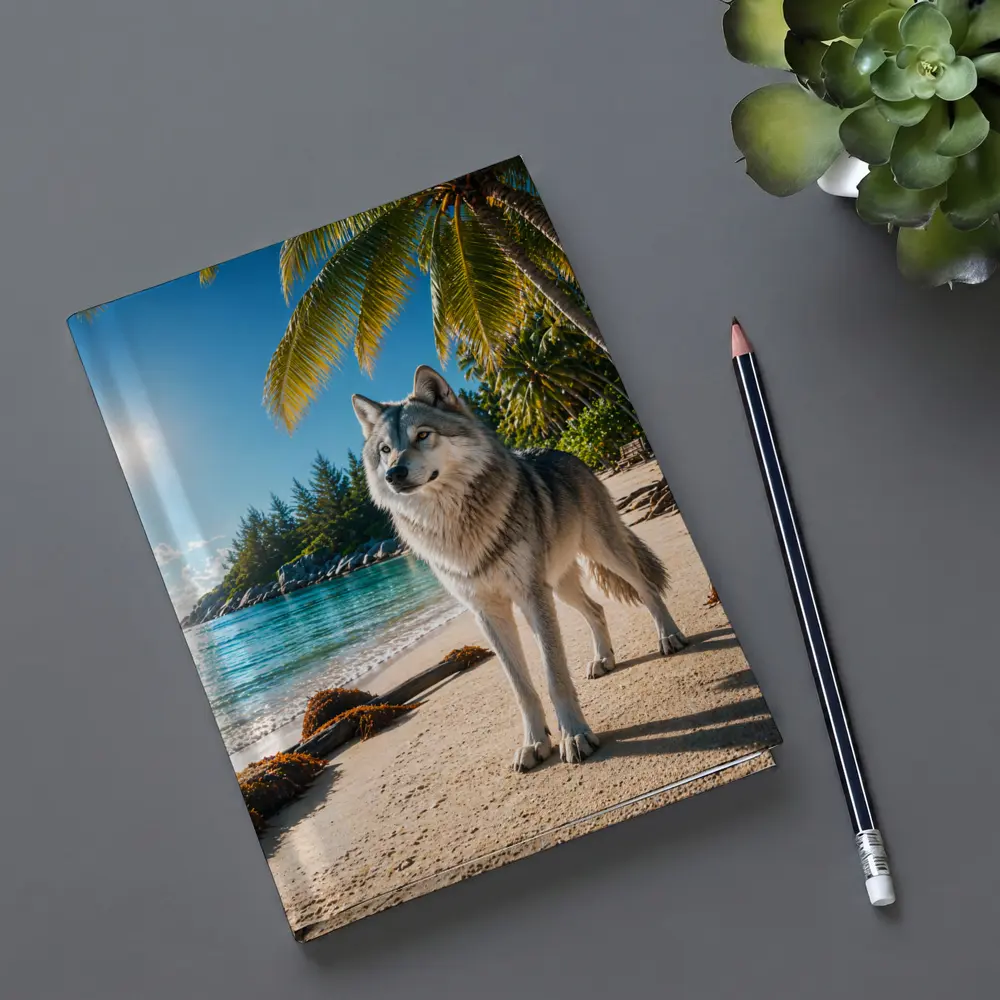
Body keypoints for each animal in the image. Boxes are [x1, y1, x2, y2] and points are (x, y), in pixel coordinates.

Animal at [352, 366, 688, 771]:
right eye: (385, 450)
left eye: (422, 435)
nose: (394, 474)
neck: (455, 526)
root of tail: (566, 452)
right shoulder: (488, 613)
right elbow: (522, 689)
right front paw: (534, 743)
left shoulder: (531, 597)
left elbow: (554, 676)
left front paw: (574, 735)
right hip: (560, 586)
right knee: (596, 609)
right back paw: (602, 659)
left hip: (605, 554)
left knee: (647, 589)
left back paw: (669, 637)